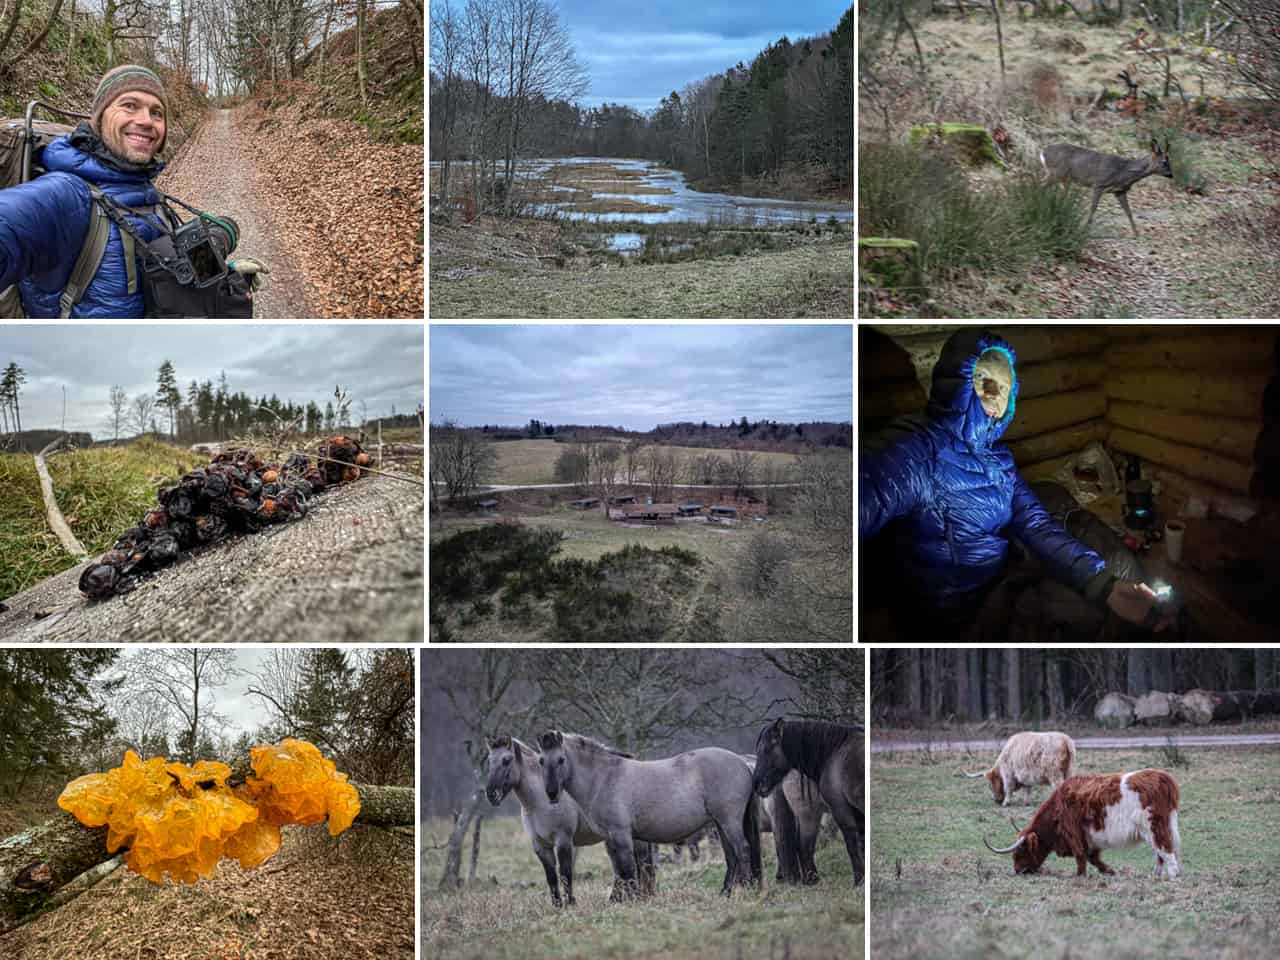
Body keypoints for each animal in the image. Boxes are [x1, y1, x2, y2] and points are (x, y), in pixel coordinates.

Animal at [483, 737, 655, 911]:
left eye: (506, 760)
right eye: (489, 760)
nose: (491, 794)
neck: (540, 801)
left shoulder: (563, 840)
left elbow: (565, 874)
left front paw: (570, 903)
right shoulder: (540, 845)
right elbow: (551, 877)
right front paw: (557, 905)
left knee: (641, 864)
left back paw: (640, 896)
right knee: (621, 868)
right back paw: (617, 899)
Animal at [537, 732, 757, 901]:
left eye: (561, 759)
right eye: (541, 761)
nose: (551, 793)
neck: (603, 778)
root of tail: (743, 763)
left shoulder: (622, 835)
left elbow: (628, 869)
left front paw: (633, 900)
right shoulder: (612, 838)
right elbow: (620, 870)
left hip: (729, 821)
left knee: (743, 850)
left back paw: (747, 891)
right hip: (721, 824)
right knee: (731, 856)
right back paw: (725, 893)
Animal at [752, 721, 865, 885]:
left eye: (766, 750)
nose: (757, 784)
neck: (834, 753)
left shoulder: (842, 809)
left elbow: (854, 846)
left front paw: (859, 881)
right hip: (809, 814)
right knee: (803, 845)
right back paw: (811, 879)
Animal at [983, 773, 1182, 885]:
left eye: (1020, 852)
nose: (1018, 871)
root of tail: (1164, 778)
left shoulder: (1074, 834)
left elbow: (1081, 856)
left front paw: (1080, 876)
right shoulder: (1089, 839)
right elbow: (1093, 857)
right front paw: (1109, 871)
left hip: (1154, 826)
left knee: (1166, 850)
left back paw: (1172, 877)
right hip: (1163, 826)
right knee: (1161, 853)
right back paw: (1155, 876)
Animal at [1039, 138, 1172, 236]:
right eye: (1164, 162)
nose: (1171, 175)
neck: (1123, 172)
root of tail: (1043, 152)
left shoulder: (1119, 191)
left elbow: (1128, 212)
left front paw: (1136, 233)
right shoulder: (1099, 184)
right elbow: (1093, 208)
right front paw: (1086, 228)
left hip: (1063, 179)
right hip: (1056, 173)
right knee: (1040, 185)